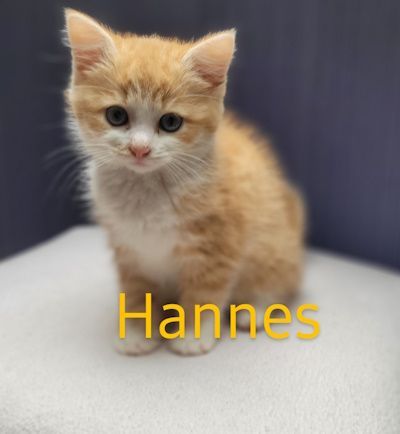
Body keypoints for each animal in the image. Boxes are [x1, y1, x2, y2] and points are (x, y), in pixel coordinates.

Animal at [64, 8, 305, 356]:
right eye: (116, 116)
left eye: (171, 122)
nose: (139, 149)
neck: (148, 190)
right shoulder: (127, 248)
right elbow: (136, 291)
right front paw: (137, 330)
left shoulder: (219, 245)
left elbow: (204, 293)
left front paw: (191, 335)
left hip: (274, 248)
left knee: (279, 282)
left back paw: (255, 310)